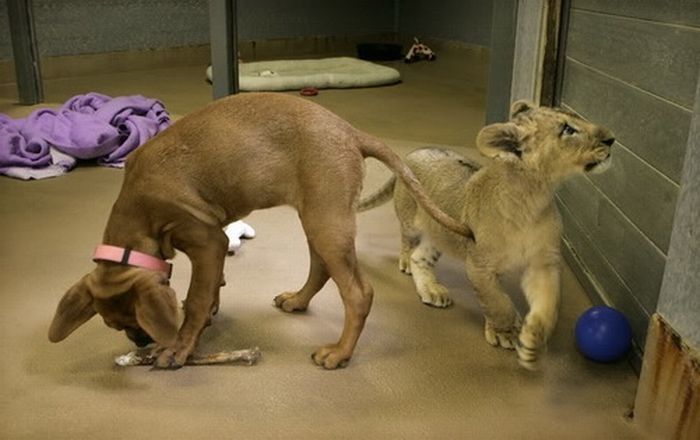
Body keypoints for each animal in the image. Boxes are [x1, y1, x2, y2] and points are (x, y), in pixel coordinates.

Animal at [49, 92, 470, 368]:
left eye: (134, 320)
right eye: (113, 324)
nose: (140, 341)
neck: (139, 210)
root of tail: (351, 132)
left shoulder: (208, 241)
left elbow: (197, 298)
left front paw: (181, 346)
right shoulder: (216, 240)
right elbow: (212, 287)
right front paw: (208, 314)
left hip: (326, 221)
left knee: (357, 292)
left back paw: (339, 353)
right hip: (317, 217)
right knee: (321, 267)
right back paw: (298, 300)